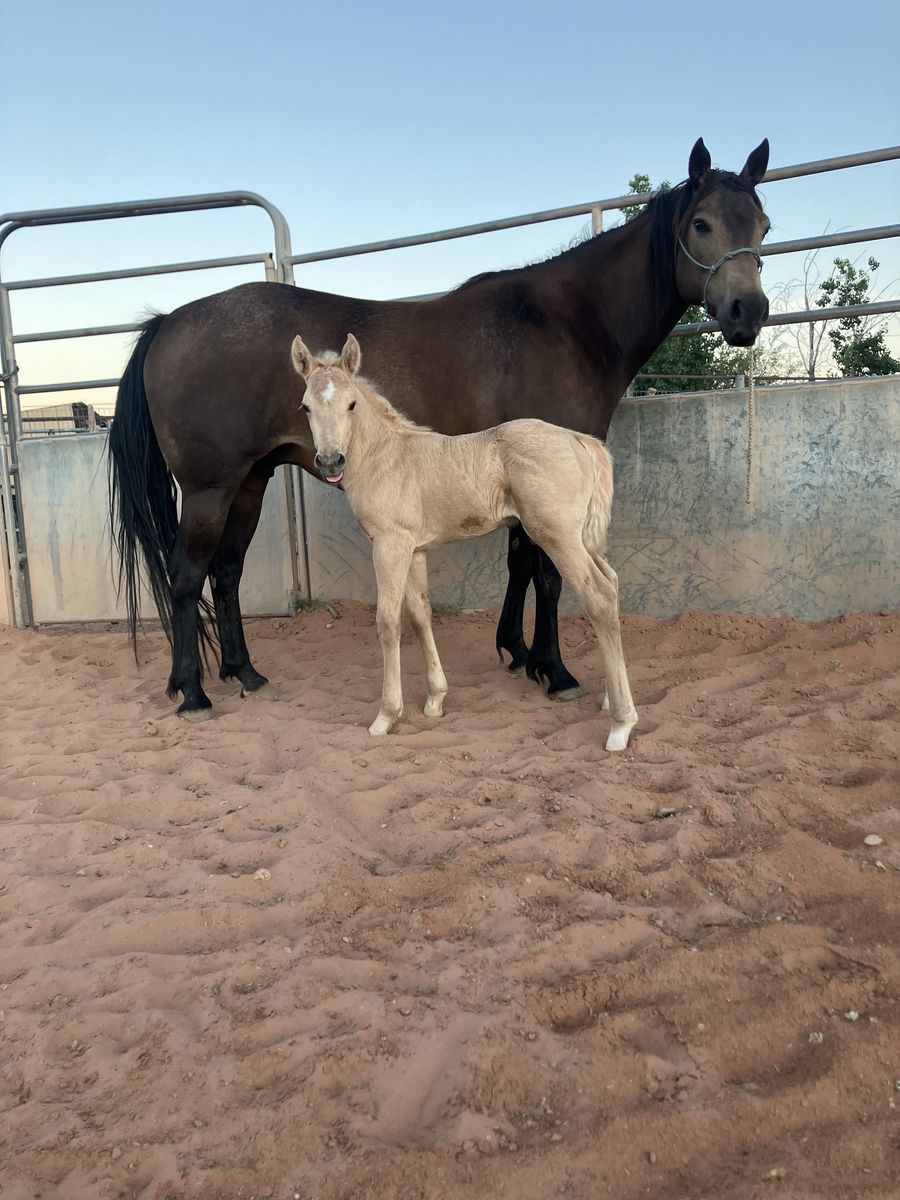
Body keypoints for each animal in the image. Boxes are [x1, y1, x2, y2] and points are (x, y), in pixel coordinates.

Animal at [290, 332, 637, 752]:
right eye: (306, 407)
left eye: (351, 404)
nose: (330, 462)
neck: (385, 457)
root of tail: (579, 440)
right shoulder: (414, 549)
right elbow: (420, 614)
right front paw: (435, 699)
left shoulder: (389, 545)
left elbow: (388, 620)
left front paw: (386, 716)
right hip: (582, 538)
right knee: (613, 584)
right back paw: (609, 700)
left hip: (558, 538)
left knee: (600, 598)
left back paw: (621, 724)